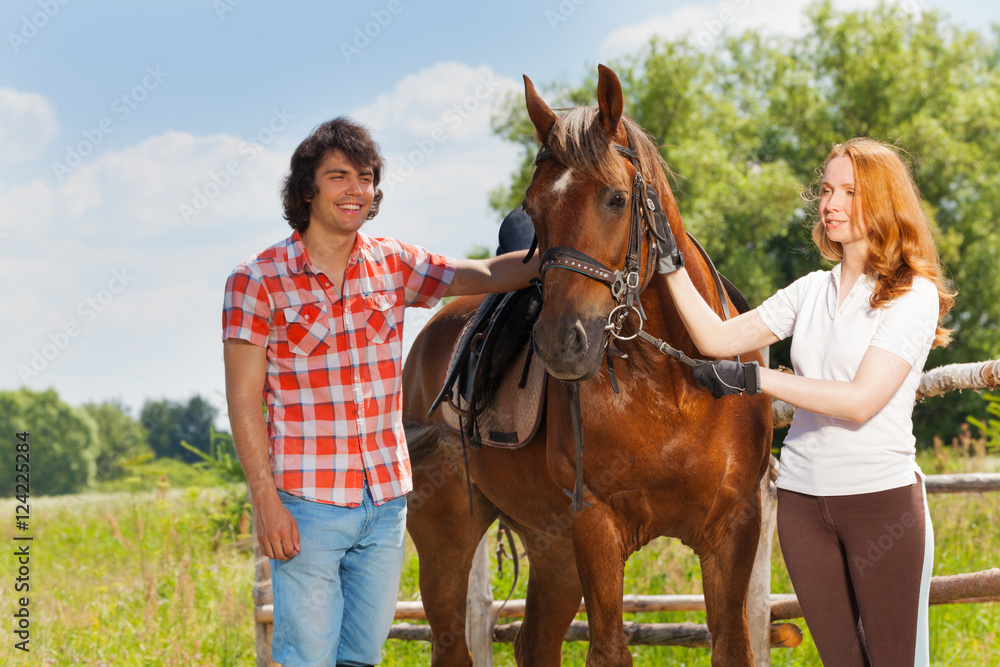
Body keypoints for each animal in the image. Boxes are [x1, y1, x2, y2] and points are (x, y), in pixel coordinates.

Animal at [404, 64, 772, 667]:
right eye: (533, 210)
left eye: (617, 199)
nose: (561, 343)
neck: (672, 388)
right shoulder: (595, 526)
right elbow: (609, 648)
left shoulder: (734, 529)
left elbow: (734, 646)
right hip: (445, 532)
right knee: (452, 641)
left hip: (550, 546)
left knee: (533, 642)